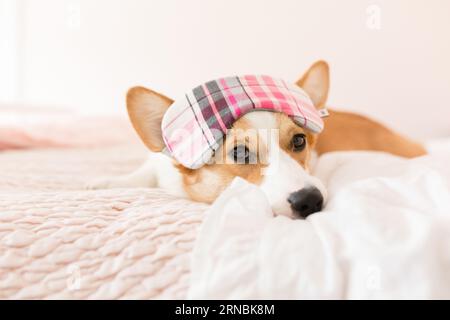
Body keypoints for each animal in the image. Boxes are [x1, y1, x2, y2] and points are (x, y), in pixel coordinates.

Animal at [87, 61, 426, 219]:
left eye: (299, 141)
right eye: (240, 154)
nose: (311, 201)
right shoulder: (157, 165)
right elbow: (140, 173)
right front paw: (104, 183)